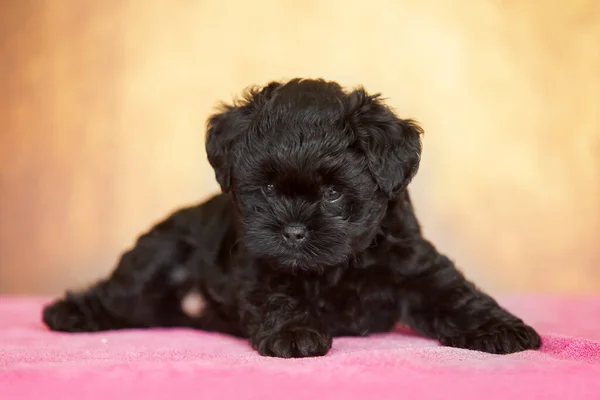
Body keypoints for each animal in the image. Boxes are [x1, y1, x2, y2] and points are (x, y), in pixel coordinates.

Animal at [42, 77, 540, 356]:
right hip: (155, 261)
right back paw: (69, 312)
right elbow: (279, 295)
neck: (338, 268)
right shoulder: (260, 267)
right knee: (118, 294)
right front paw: (296, 331)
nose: (294, 231)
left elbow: (455, 295)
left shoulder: (415, 264)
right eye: (266, 188)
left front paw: (499, 327)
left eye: (335, 194)